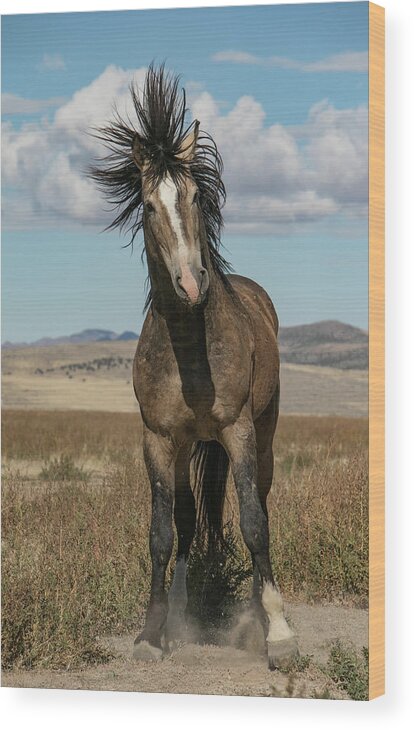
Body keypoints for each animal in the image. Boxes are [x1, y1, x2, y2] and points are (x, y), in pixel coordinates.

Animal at [90, 65, 298, 668]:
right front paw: (151, 632)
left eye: (194, 196)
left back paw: (257, 612)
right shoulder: (158, 439)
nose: (191, 282)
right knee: (186, 522)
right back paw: (182, 614)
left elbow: (253, 523)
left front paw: (279, 634)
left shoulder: (239, 431)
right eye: (147, 205)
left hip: (263, 434)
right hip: (187, 446)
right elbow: (163, 531)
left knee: (260, 503)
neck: (189, 351)